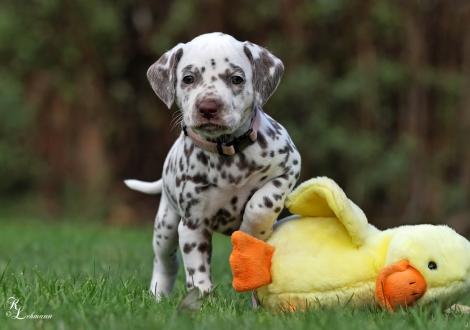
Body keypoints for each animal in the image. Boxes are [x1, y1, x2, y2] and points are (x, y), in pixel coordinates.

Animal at [125, 32, 302, 300]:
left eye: (236, 79)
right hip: (165, 225)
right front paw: (202, 295)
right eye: (188, 78)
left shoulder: (289, 166)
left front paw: (252, 228)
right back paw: (158, 294)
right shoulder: (192, 225)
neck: (227, 152)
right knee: (165, 261)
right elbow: (196, 267)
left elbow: (263, 202)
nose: (208, 107)